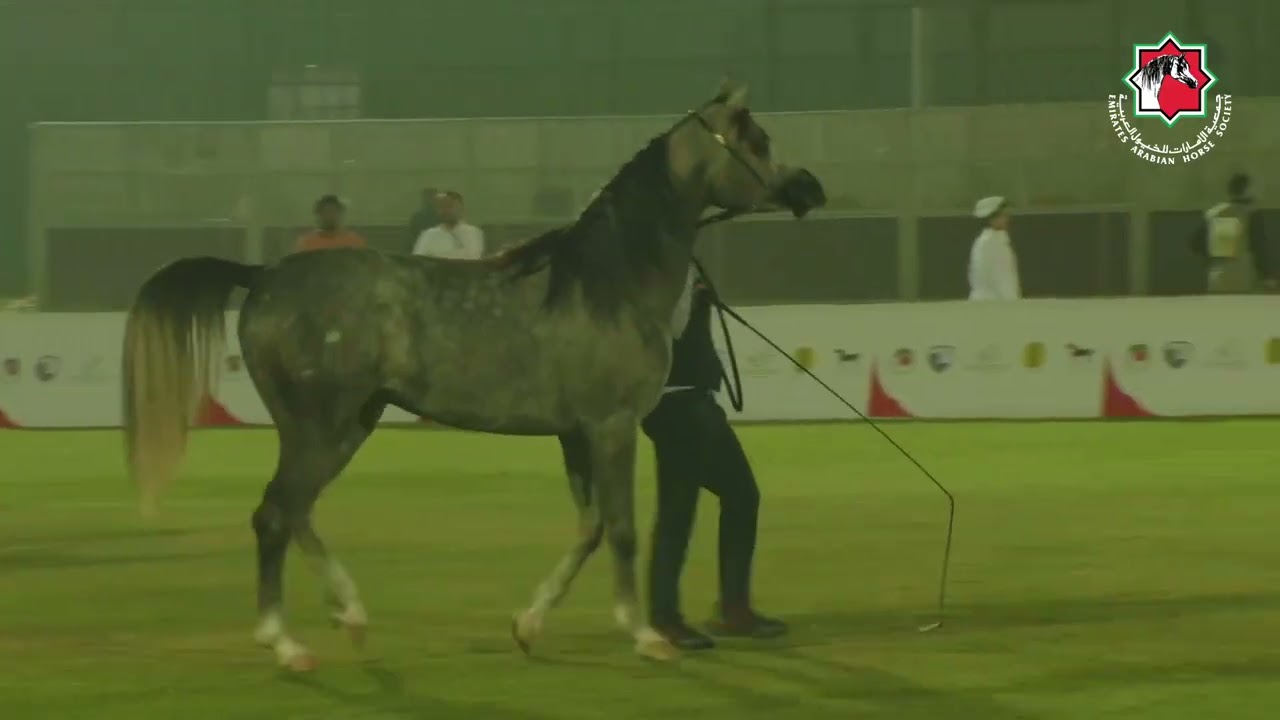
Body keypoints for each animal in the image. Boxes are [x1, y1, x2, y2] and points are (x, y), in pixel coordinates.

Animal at [120, 79, 826, 671]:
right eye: (756, 141)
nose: (809, 188)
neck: (608, 281)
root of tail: (263, 275)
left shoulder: (576, 434)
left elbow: (591, 528)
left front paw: (529, 625)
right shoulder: (612, 426)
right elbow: (624, 529)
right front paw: (646, 634)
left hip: (348, 425)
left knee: (295, 512)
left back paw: (349, 614)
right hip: (320, 425)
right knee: (274, 515)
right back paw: (286, 643)